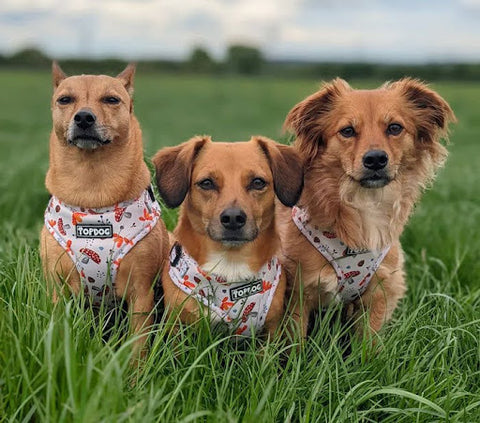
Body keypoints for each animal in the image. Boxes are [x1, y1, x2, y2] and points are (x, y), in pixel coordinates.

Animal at [40, 63, 170, 358]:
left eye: (111, 99)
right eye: (65, 99)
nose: (84, 117)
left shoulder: (140, 293)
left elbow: (138, 346)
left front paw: (135, 371)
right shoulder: (58, 289)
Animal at [152, 136, 302, 338]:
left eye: (258, 182)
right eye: (206, 183)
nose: (233, 218)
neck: (231, 261)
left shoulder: (272, 329)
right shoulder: (176, 326)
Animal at [278, 77, 454, 342]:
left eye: (394, 128)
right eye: (347, 131)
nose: (375, 159)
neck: (364, 204)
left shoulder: (378, 293)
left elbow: (368, 345)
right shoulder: (298, 293)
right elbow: (293, 344)